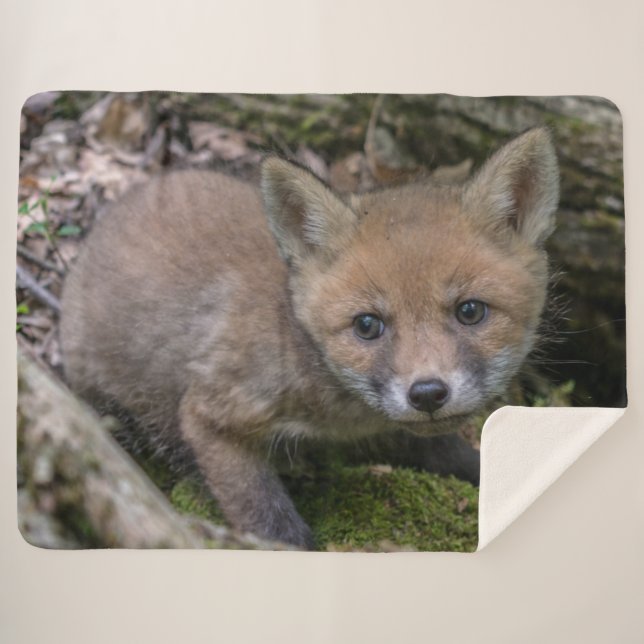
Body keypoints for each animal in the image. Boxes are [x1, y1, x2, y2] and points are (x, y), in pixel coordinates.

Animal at [60, 127, 559, 549]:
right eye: (367, 325)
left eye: (470, 311)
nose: (428, 394)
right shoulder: (210, 415)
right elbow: (269, 520)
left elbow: (450, 451)